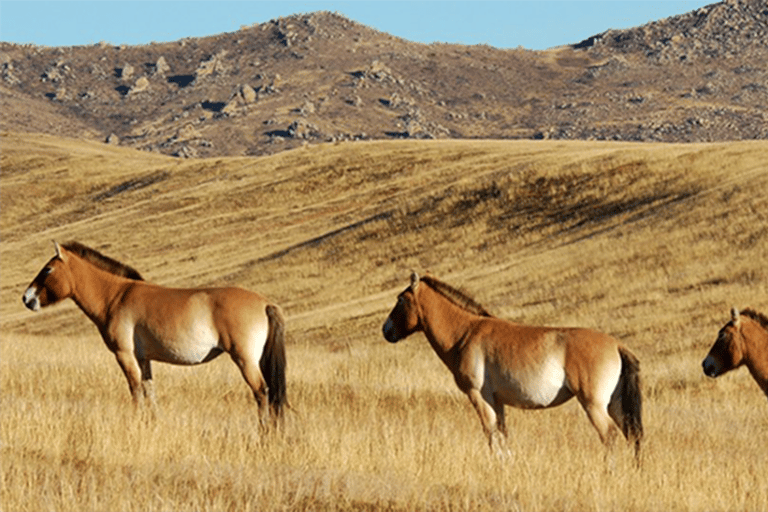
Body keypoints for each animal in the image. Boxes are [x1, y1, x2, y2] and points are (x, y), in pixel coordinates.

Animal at [24, 242, 288, 422]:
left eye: (47, 270)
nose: (26, 298)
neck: (116, 296)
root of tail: (265, 303)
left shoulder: (125, 355)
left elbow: (135, 389)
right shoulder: (143, 358)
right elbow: (149, 390)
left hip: (245, 360)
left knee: (261, 392)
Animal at [382, 274, 640, 458]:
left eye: (401, 300)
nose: (386, 331)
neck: (466, 332)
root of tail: (617, 345)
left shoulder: (479, 396)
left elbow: (490, 432)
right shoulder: (497, 401)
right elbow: (502, 434)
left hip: (594, 405)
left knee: (609, 435)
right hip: (614, 405)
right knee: (630, 435)